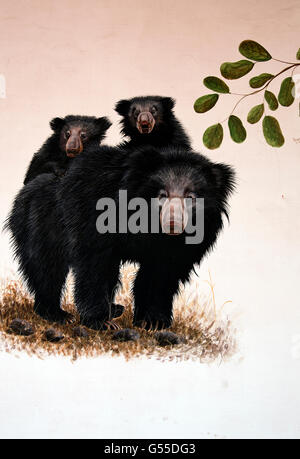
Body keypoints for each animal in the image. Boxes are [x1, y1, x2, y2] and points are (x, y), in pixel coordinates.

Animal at [6, 145, 234, 330]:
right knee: (47, 267)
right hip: (41, 223)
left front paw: (153, 321)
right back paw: (57, 313)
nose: (173, 223)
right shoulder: (96, 215)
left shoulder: (180, 245)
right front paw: (100, 321)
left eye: (191, 197)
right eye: (161, 195)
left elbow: (161, 273)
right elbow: (94, 265)